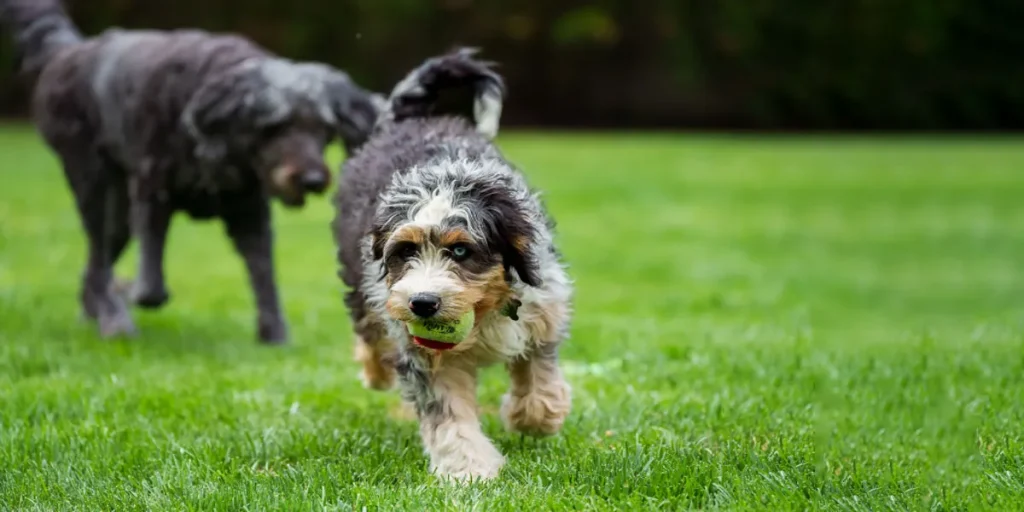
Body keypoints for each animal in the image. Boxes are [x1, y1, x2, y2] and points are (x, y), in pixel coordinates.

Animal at [0, 1, 385, 344]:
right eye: (275, 127)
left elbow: (265, 279)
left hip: (120, 217)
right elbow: (151, 285)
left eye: (324, 130)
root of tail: (67, 50)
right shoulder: (152, 193)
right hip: (96, 189)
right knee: (100, 260)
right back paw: (113, 318)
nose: (312, 180)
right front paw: (133, 292)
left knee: (96, 266)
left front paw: (275, 336)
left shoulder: (249, 213)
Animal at [335, 48, 577, 479]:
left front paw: (534, 417)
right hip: (357, 274)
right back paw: (376, 371)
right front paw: (469, 470)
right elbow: (448, 415)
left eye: (461, 251)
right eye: (406, 252)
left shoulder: (545, 304)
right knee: (367, 329)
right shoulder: (423, 354)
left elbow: (539, 373)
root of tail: (409, 119)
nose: (422, 303)